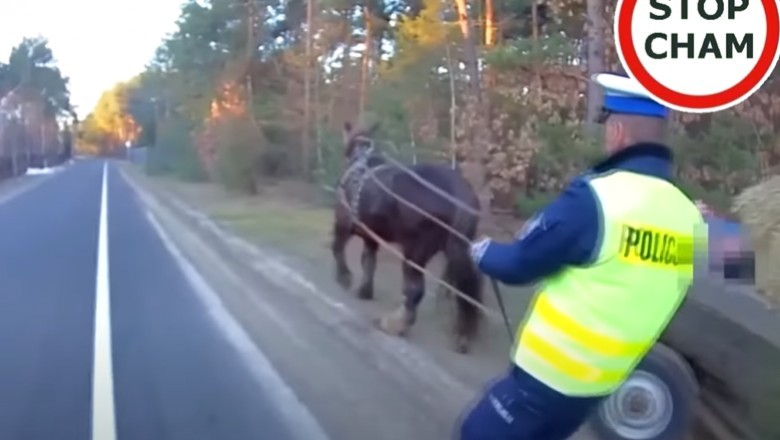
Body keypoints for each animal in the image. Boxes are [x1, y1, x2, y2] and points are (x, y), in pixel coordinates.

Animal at [332, 121, 484, 354]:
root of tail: (460, 196)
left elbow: (338, 248)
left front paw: (344, 278)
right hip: (457, 249)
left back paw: (394, 324)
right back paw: (462, 334)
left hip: (415, 251)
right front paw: (365, 291)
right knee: (465, 291)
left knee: (415, 290)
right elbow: (369, 262)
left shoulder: (343, 223)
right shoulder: (371, 236)